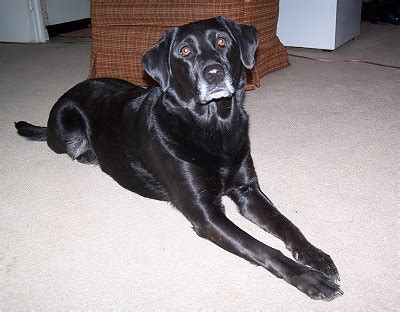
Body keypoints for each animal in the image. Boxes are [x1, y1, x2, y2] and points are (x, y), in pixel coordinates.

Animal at [14, 16, 340, 300]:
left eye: (222, 41)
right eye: (184, 52)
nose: (213, 73)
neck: (214, 127)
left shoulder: (248, 190)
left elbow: (286, 224)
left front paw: (316, 256)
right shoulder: (205, 214)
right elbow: (263, 248)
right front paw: (309, 278)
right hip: (66, 127)